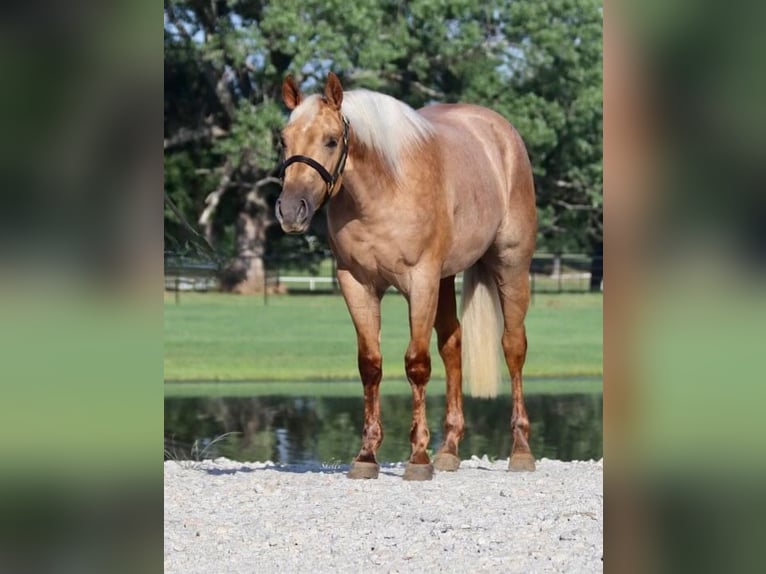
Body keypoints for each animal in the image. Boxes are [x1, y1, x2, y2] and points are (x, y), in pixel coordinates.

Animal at [280, 74, 536, 484]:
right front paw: (366, 455)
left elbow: (417, 364)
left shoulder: (421, 281)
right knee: (453, 345)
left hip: (510, 265)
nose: (291, 211)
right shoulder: (357, 284)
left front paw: (418, 457)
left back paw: (521, 451)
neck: (385, 188)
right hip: (446, 279)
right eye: (283, 139)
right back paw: (448, 451)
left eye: (331, 140)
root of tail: (501, 132)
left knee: (513, 347)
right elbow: (370, 365)